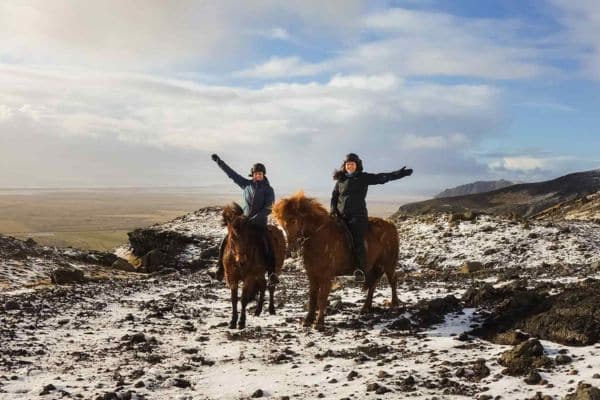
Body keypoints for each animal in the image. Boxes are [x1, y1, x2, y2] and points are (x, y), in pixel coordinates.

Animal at [272, 193, 398, 328]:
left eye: (294, 220)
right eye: (282, 223)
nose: (292, 247)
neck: (318, 236)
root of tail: (391, 225)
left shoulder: (326, 276)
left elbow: (322, 298)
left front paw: (319, 323)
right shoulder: (312, 275)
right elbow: (312, 297)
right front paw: (308, 320)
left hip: (389, 264)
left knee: (392, 281)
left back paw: (393, 304)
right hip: (373, 266)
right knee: (373, 283)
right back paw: (365, 308)